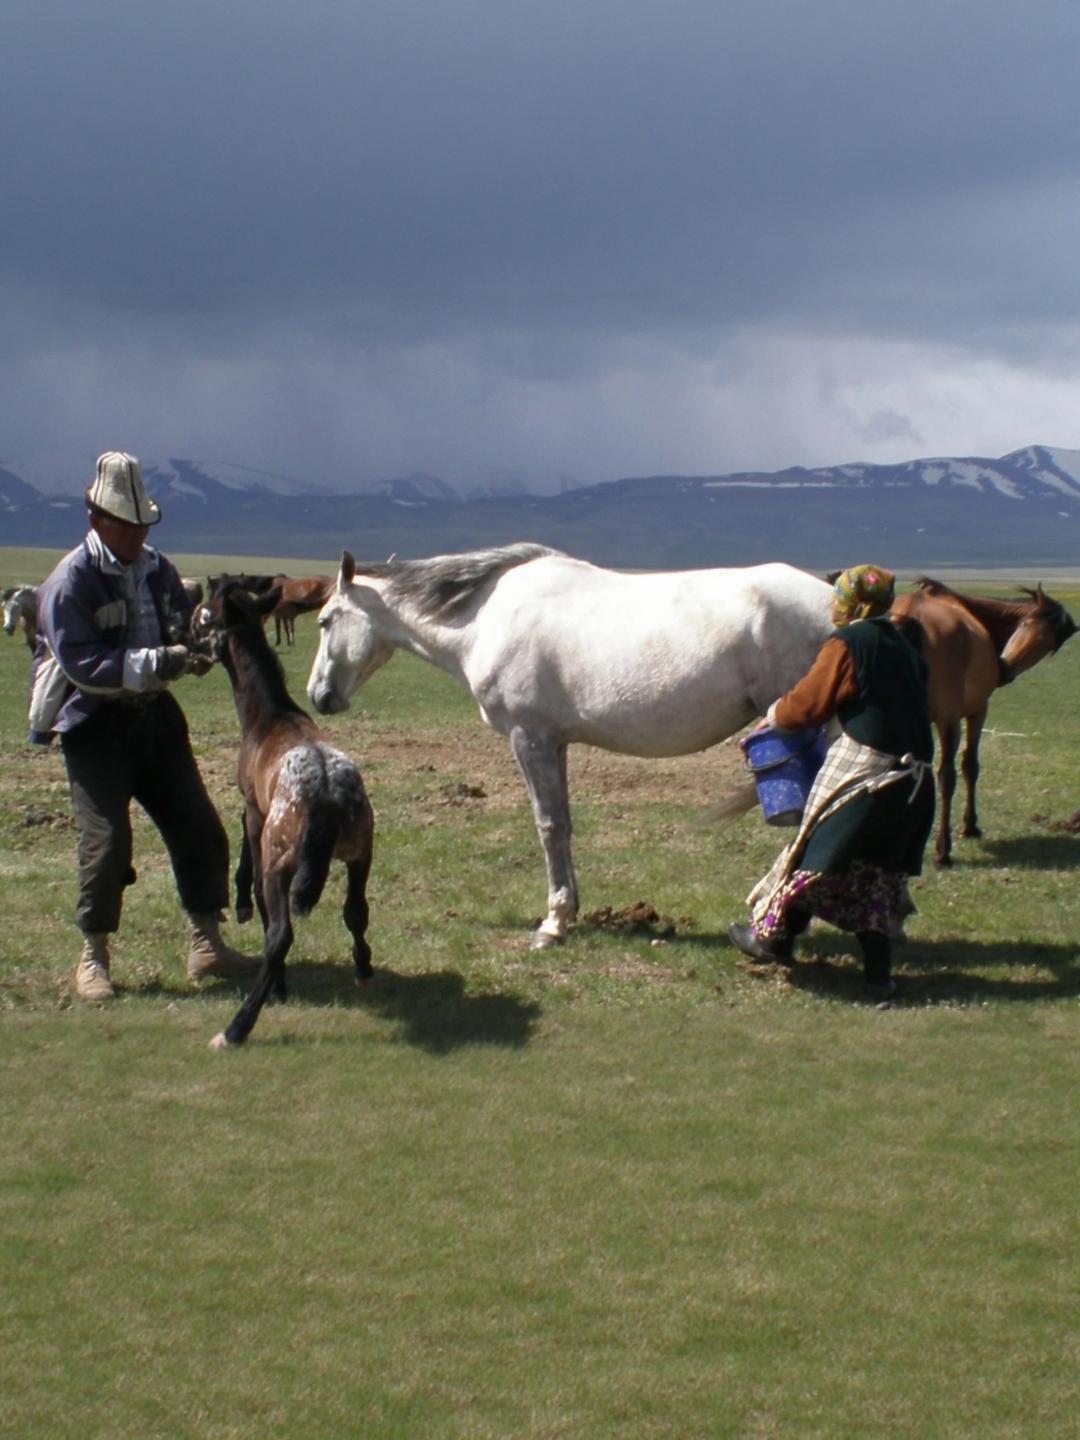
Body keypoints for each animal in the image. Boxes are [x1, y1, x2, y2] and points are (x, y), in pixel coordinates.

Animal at [192, 583, 375, 1048]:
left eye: (205, 616)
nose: (186, 640)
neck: (269, 715)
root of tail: (326, 796)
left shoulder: (255, 810)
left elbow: (248, 853)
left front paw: (242, 902)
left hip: (282, 859)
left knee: (280, 933)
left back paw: (241, 1023)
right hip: (361, 851)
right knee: (356, 910)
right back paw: (364, 968)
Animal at [306, 542, 835, 947]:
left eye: (326, 620)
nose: (318, 695)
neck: (486, 618)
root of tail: (835, 599)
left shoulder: (530, 739)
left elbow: (549, 825)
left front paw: (553, 923)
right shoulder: (555, 743)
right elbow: (563, 823)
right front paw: (569, 911)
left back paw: (769, 904)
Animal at [890, 576, 1076, 866]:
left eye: (1048, 646)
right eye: (1024, 625)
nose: (1005, 669)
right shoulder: (978, 710)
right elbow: (970, 766)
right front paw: (970, 825)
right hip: (949, 720)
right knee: (947, 775)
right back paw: (943, 850)